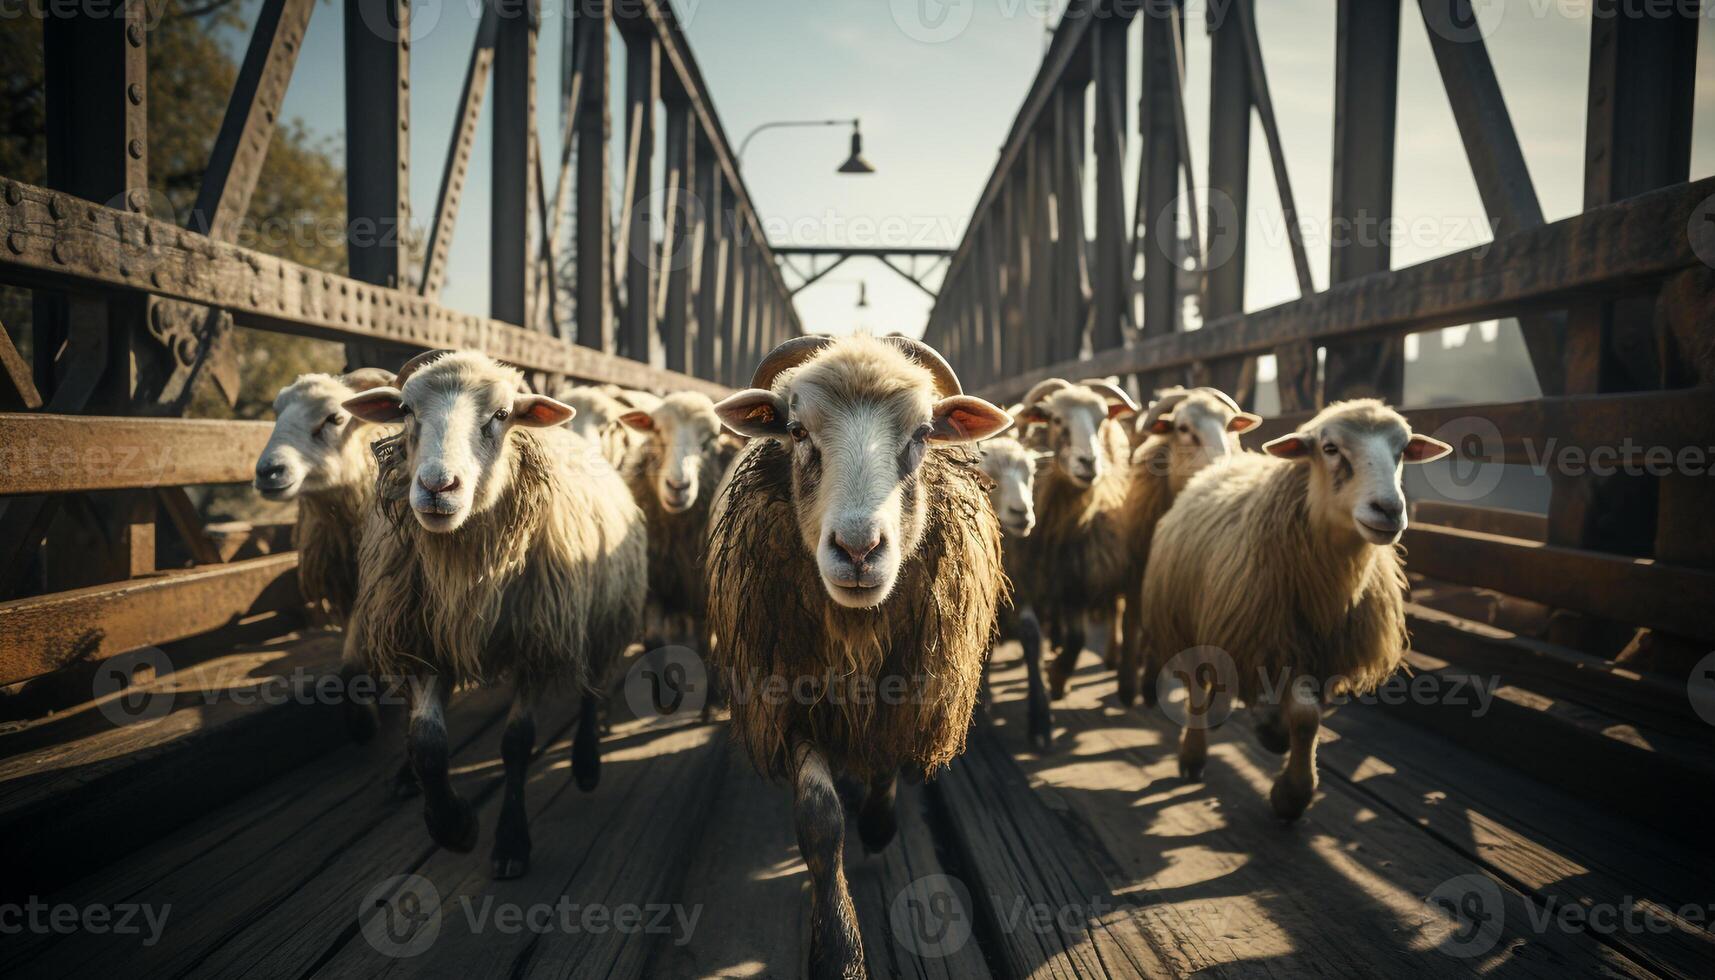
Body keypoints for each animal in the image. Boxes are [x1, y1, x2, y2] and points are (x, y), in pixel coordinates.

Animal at [343, 350, 648, 878]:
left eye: (502, 414)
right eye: (404, 409)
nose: (438, 486)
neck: (468, 569)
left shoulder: (536, 642)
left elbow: (516, 743)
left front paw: (510, 841)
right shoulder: (425, 638)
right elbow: (427, 742)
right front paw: (454, 826)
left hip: (602, 614)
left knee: (592, 688)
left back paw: (587, 764)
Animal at [1015, 379, 1138, 731]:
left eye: (1101, 419)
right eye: (1056, 420)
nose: (1089, 463)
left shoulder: (1076, 581)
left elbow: (1078, 639)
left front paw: (1057, 677)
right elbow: (1039, 634)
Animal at [1111, 387, 1262, 710]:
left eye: (1230, 427)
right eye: (1183, 429)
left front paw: (1150, 683)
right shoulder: (1137, 570)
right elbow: (1131, 621)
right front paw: (1127, 687)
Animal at [1138, 398, 1447, 820]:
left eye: (1401, 451)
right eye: (1330, 448)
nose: (1388, 509)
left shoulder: (1319, 655)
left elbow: (1306, 718)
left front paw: (1286, 770)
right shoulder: (1270, 641)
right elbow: (1303, 718)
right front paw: (1292, 794)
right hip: (1188, 622)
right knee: (1198, 690)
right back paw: (1193, 755)